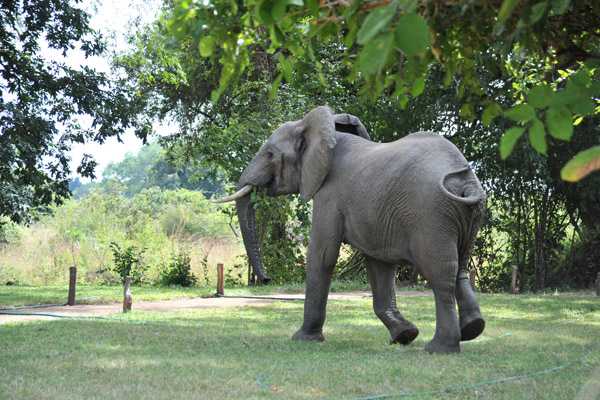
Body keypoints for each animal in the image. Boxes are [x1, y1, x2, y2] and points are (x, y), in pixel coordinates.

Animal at [216, 105, 488, 354]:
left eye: (270, 154)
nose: (265, 279)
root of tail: (466, 182)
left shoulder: (329, 193)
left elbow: (322, 256)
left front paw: (303, 339)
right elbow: (379, 264)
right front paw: (405, 335)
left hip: (431, 214)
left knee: (440, 273)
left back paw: (440, 348)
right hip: (466, 215)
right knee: (460, 268)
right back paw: (473, 329)